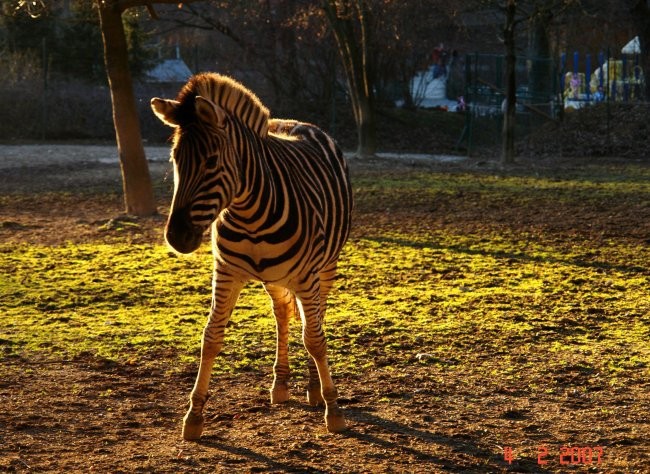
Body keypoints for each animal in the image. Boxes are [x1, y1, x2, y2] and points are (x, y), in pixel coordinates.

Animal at [150, 73, 352, 440]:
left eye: (211, 162)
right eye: (175, 160)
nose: (176, 237)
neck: (251, 215)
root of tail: (296, 122)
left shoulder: (307, 276)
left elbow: (315, 339)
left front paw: (333, 409)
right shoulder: (226, 272)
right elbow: (211, 337)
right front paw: (194, 415)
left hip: (325, 268)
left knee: (316, 319)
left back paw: (314, 389)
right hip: (274, 277)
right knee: (283, 315)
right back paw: (281, 383)